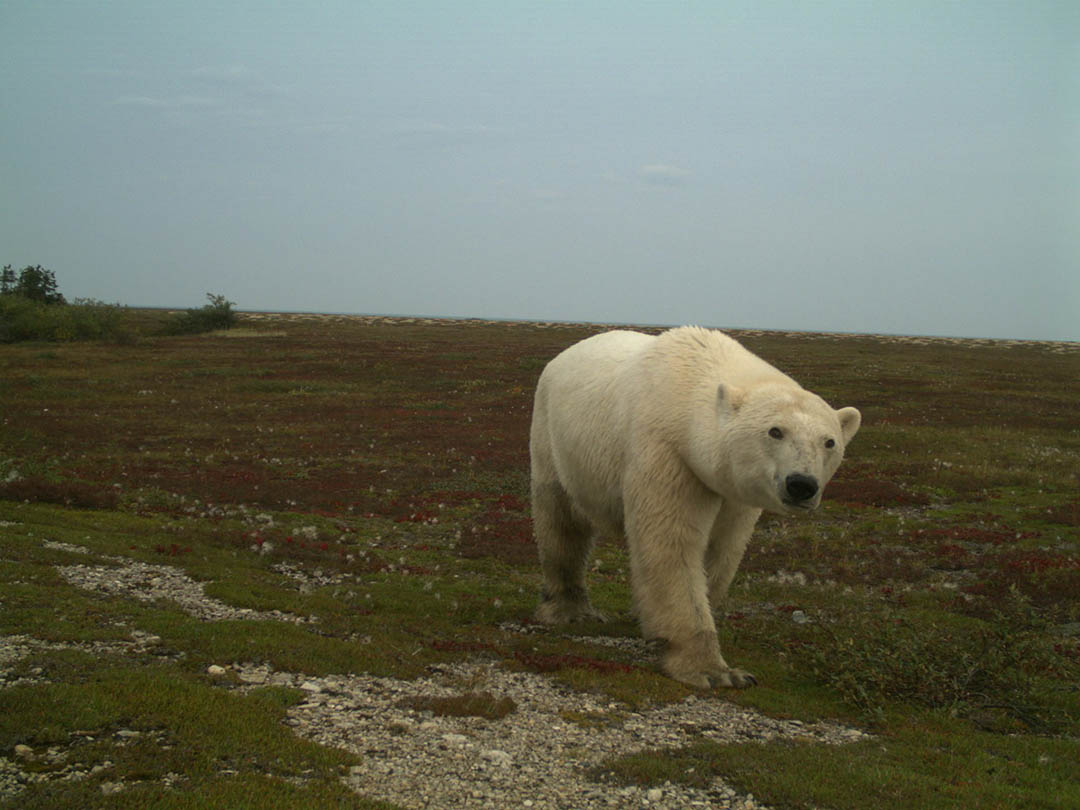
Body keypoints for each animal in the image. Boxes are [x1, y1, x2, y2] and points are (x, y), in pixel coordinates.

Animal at [529, 326, 861, 689]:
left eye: (829, 442)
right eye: (775, 431)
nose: (802, 484)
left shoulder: (733, 490)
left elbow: (723, 549)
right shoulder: (668, 454)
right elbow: (672, 546)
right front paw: (715, 671)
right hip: (554, 440)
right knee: (561, 522)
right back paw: (570, 610)